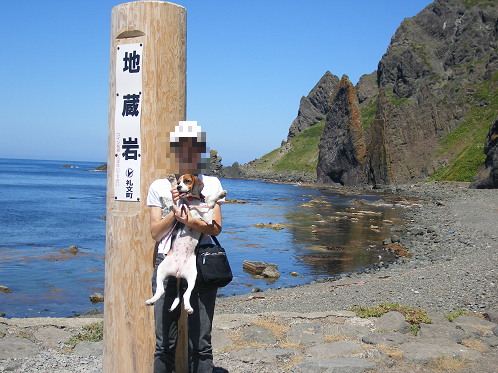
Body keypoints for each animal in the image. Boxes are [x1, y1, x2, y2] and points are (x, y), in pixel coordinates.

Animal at [144, 173, 228, 312]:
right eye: (179, 182)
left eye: (187, 181)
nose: (178, 187)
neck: (191, 200)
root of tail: (178, 272)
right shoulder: (179, 209)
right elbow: (182, 201)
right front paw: (172, 181)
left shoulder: (208, 220)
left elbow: (210, 201)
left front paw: (220, 194)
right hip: (161, 269)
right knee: (161, 291)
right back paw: (151, 300)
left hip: (192, 277)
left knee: (185, 295)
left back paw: (188, 307)